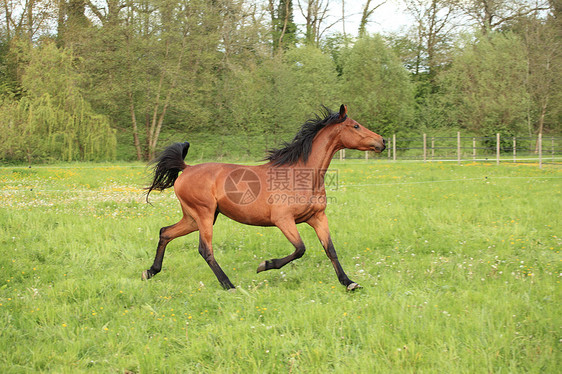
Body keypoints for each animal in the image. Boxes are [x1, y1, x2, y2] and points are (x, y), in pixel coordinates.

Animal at [142, 103, 382, 290]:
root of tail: (187, 168)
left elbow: (330, 250)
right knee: (205, 250)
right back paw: (229, 285)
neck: (300, 175)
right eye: (356, 125)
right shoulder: (283, 220)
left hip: (194, 217)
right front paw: (264, 265)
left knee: (165, 232)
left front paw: (349, 282)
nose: (383, 141)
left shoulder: (318, 218)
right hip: (204, 214)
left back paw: (150, 271)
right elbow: (300, 249)